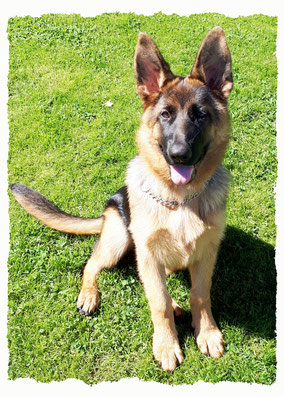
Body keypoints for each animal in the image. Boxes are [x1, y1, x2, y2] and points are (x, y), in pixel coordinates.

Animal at [10, 27, 233, 372]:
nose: (179, 154)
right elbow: (158, 302)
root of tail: (108, 210)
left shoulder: (207, 253)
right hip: (119, 240)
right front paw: (166, 343)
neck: (180, 199)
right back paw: (90, 295)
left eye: (201, 115)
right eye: (165, 114)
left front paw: (206, 332)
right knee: (93, 265)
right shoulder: (149, 254)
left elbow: (200, 293)